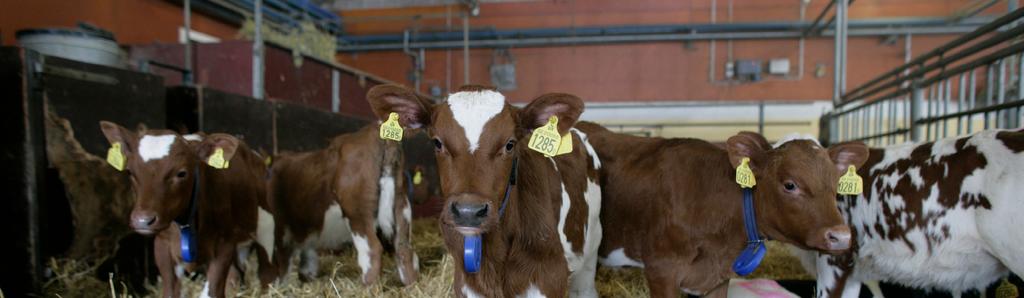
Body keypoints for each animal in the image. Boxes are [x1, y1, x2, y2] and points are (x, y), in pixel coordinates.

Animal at [100, 121, 276, 298]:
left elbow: (211, 292)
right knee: (235, 275)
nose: (143, 220)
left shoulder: (224, 244)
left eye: (181, 173)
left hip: (266, 225)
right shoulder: (162, 245)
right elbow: (171, 291)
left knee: (267, 268)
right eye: (130, 172)